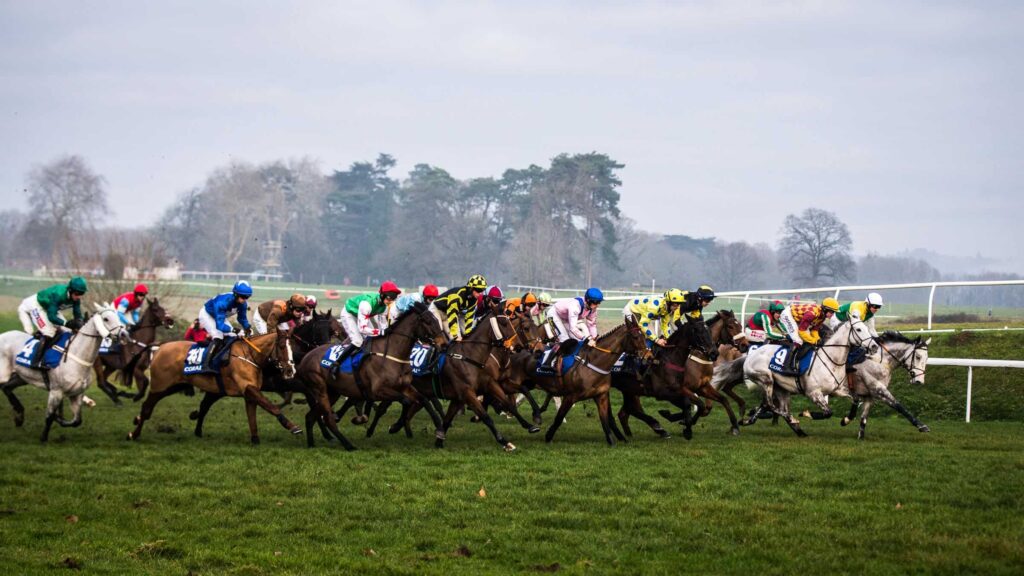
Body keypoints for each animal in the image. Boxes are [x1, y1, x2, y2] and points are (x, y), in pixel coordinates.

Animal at [1, 303, 128, 440]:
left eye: (118, 317)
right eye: (106, 319)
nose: (124, 334)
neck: (76, 355)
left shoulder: (77, 393)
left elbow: (77, 421)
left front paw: (60, 419)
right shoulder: (56, 391)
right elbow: (49, 416)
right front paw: (43, 437)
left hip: (21, 377)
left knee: (6, 388)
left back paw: (19, 415)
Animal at [125, 327, 299, 444]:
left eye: (292, 347)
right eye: (282, 347)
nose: (290, 370)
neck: (249, 355)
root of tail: (161, 346)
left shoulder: (248, 391)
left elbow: (252, 416)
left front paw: (255, 439)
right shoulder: (248, 387)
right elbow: (271, 407)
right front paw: (292, 426)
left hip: (175, 386)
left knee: (148, 407)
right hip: (160, 386)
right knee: (147, 408)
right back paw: (133, 434)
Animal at [186, 311, 337, 436]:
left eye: (330, 330)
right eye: (318, 329)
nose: (324, 349)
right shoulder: (298, 385)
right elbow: (313, 405)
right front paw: (327, 433)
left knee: (205, 404)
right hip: (219, 389)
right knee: (205, 405)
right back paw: (197, 428)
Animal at [290, 301, 446, 448]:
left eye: (436, 319)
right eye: (427, 321)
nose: (443, 344)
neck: (392, 353)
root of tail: (306, 357)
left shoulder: (404, 387)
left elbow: (422, 400)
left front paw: (439, 425)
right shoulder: (378, 391)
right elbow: (405, 401)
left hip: (333, 392)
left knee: (310, 417)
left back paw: (312, 444)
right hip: (319, 388)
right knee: (327, 418)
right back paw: (348, 445)